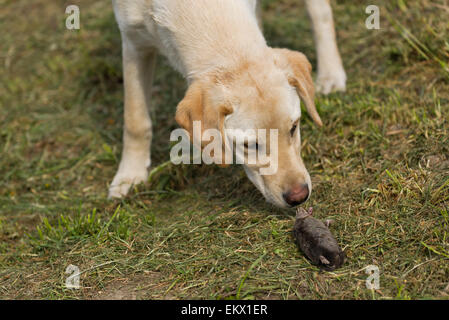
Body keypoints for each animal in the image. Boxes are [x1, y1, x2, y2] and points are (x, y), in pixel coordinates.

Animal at [109, 0, 346, 208]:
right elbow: (135, 120)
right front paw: (129, 176)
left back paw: (331, 74)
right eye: (250, 145)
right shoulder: (132, 41)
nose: (299, 196)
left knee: (320, 12)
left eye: (294, 128)